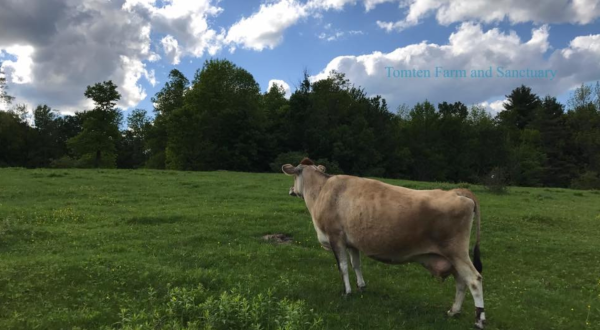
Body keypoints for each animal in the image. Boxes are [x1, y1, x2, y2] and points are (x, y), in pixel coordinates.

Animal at [284, 159, 486, 328]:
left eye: (295, 175)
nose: (291, 190)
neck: (322, 190)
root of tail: (458, 192)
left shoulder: (336, 237)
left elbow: (343, 267)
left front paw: (347, 292)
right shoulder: (352, 242)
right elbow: (356, 264)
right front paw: (361, 286)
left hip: (457, 251)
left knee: (474, 279)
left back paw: (479, 319)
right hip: (454, 256)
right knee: (461, 281)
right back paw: (454, 311)